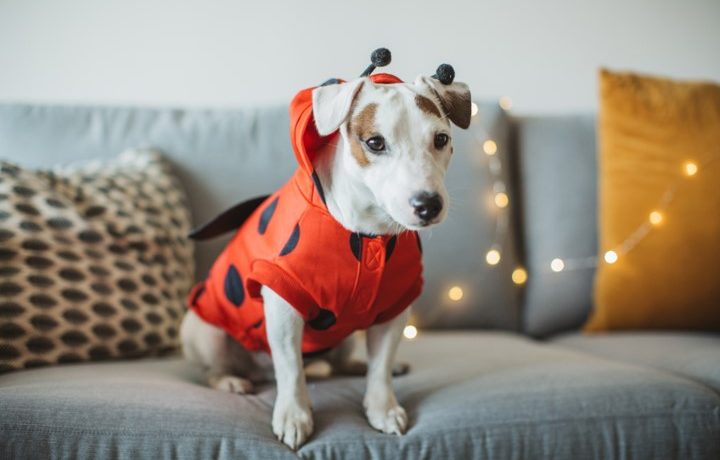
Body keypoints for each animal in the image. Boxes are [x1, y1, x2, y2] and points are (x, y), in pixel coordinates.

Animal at [180, 49, 471, 450]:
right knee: (217, 368)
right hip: (205, 330)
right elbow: (290, 370)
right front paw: (294, 415)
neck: (368, 233)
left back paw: (358, 364)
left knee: (342, 362)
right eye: (375, 143)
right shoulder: (284, 302)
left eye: (441, 139)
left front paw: (382, 407)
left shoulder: (395, 306)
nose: (428, 204)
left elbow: (381, 368)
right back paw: (230, 379)